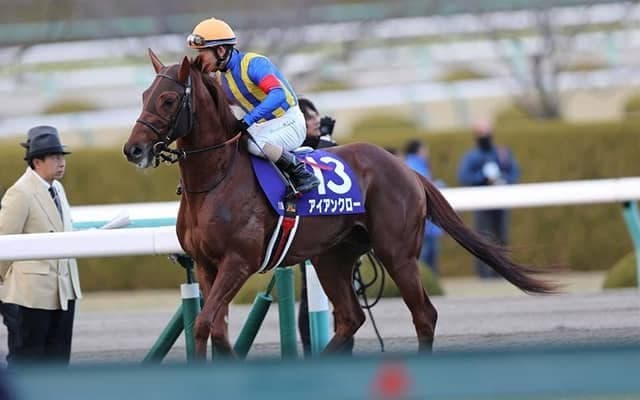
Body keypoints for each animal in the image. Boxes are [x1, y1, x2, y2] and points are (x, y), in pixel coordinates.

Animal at [123, 49, 556, 359]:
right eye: (143, 95)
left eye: (167, 100)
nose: (133, 149)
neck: (216, 178)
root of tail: (404, 168)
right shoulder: (206, 264)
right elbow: (212, 328)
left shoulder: (239, 262)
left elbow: (203, 324)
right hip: (332, 256)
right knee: (351, 318)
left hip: (397, 253)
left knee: (424, 315)